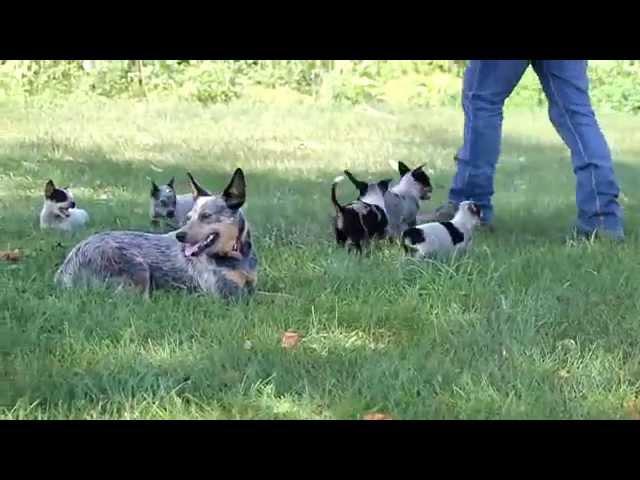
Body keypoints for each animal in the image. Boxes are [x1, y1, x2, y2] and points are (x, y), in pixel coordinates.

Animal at [53, 167, 256, 298]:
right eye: (189, 217)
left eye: (206, 216)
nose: (179, 236)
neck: (237, 257)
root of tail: (66, 267)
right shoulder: (229, 294)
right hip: (137, 269)